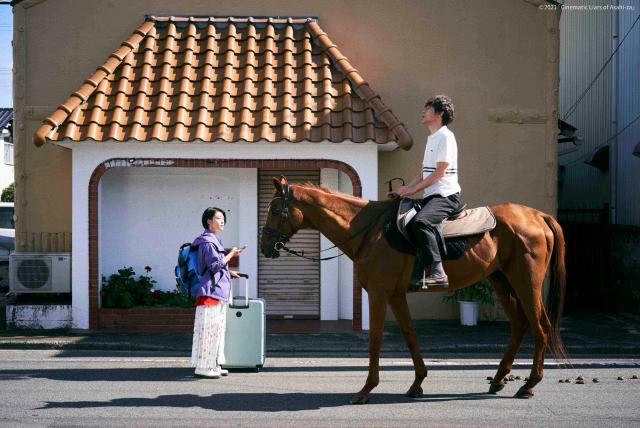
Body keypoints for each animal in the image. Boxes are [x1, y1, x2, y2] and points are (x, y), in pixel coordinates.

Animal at [260, 176, 564, 402]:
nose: (265, 247)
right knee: (520, 324)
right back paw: (499, 379)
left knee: (540, 327)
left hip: (526, 282)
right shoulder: (395, 295)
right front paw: (417, 383)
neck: (369, 231)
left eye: (274, 210)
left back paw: (529, 385)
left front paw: (366, 389)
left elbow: (376, 339)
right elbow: (410, 335)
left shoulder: (379, 294)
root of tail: (537, 216)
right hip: (501, 280)